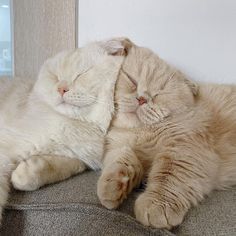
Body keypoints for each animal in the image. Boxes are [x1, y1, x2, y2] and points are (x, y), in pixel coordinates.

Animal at [0, 37, 127, 222]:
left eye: (82, 73)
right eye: (55, 77)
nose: (61, 89)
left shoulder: (80, 159)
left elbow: (61, 167)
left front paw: (25, 174)